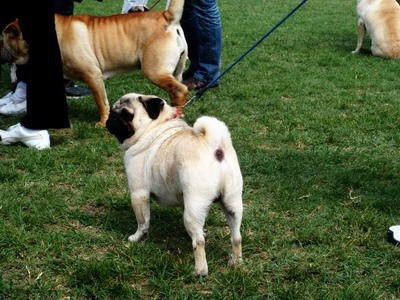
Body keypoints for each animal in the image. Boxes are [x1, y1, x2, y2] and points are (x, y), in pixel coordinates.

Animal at [1, 0, 188, 125]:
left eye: (3, 39)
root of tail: (167, 16)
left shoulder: (92, 75)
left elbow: (101, 102)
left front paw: (103, 123)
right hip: (175, 71)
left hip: (154, 71)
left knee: (180, 90)